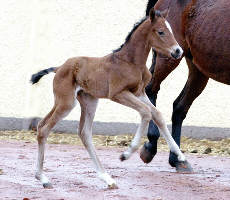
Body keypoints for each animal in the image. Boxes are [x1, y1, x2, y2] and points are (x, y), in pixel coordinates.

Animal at [31, 8, 186, 189]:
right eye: (161, 32)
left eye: (171, 30)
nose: (178, 51)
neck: (131, 62)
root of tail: (59, 67)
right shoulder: (118, 94)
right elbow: (146, 112)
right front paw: (126, 154)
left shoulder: (139, 93)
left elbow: (157, 114)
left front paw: (181, 156)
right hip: (66, 102)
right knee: (44, 129)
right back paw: (43, 178)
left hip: (88, 101)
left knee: (81, 132)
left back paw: (107, 178)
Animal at [140, 0, 230, 172]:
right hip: (168, 56)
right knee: (150, 89)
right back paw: (151, 147)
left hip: (198, 69)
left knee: (179, 107)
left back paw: (178, 160)